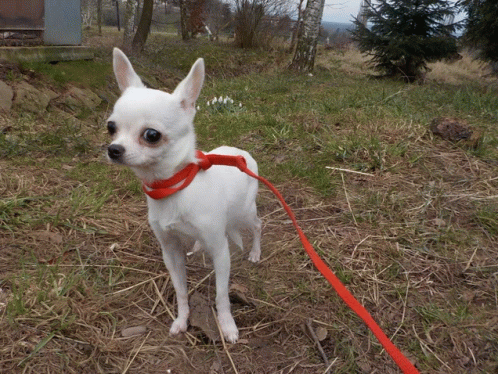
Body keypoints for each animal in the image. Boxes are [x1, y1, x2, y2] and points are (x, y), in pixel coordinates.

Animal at [105, 48, 260, 344]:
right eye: (111, 127)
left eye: (151, 135)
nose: (113, 149)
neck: (173, 187)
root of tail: (241, 153)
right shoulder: (170, 251)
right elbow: (181, 291)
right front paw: (182, 319)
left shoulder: (221, 252)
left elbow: (221, 295)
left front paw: (227, 325)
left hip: (245, 213)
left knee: (258, 225)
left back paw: (256, 252)